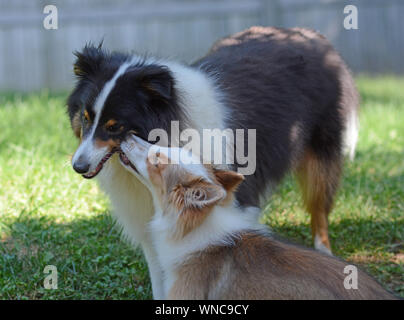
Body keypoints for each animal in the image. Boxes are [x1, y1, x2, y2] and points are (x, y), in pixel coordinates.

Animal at [67, 26, 360, 298]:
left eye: (114, 126)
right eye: (85, 117)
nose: (78, 167)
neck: (172, 120)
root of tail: (312, 35)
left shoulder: (236, 201)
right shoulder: (147, 219)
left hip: (322, 145)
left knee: (319, 202)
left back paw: (324, 248)